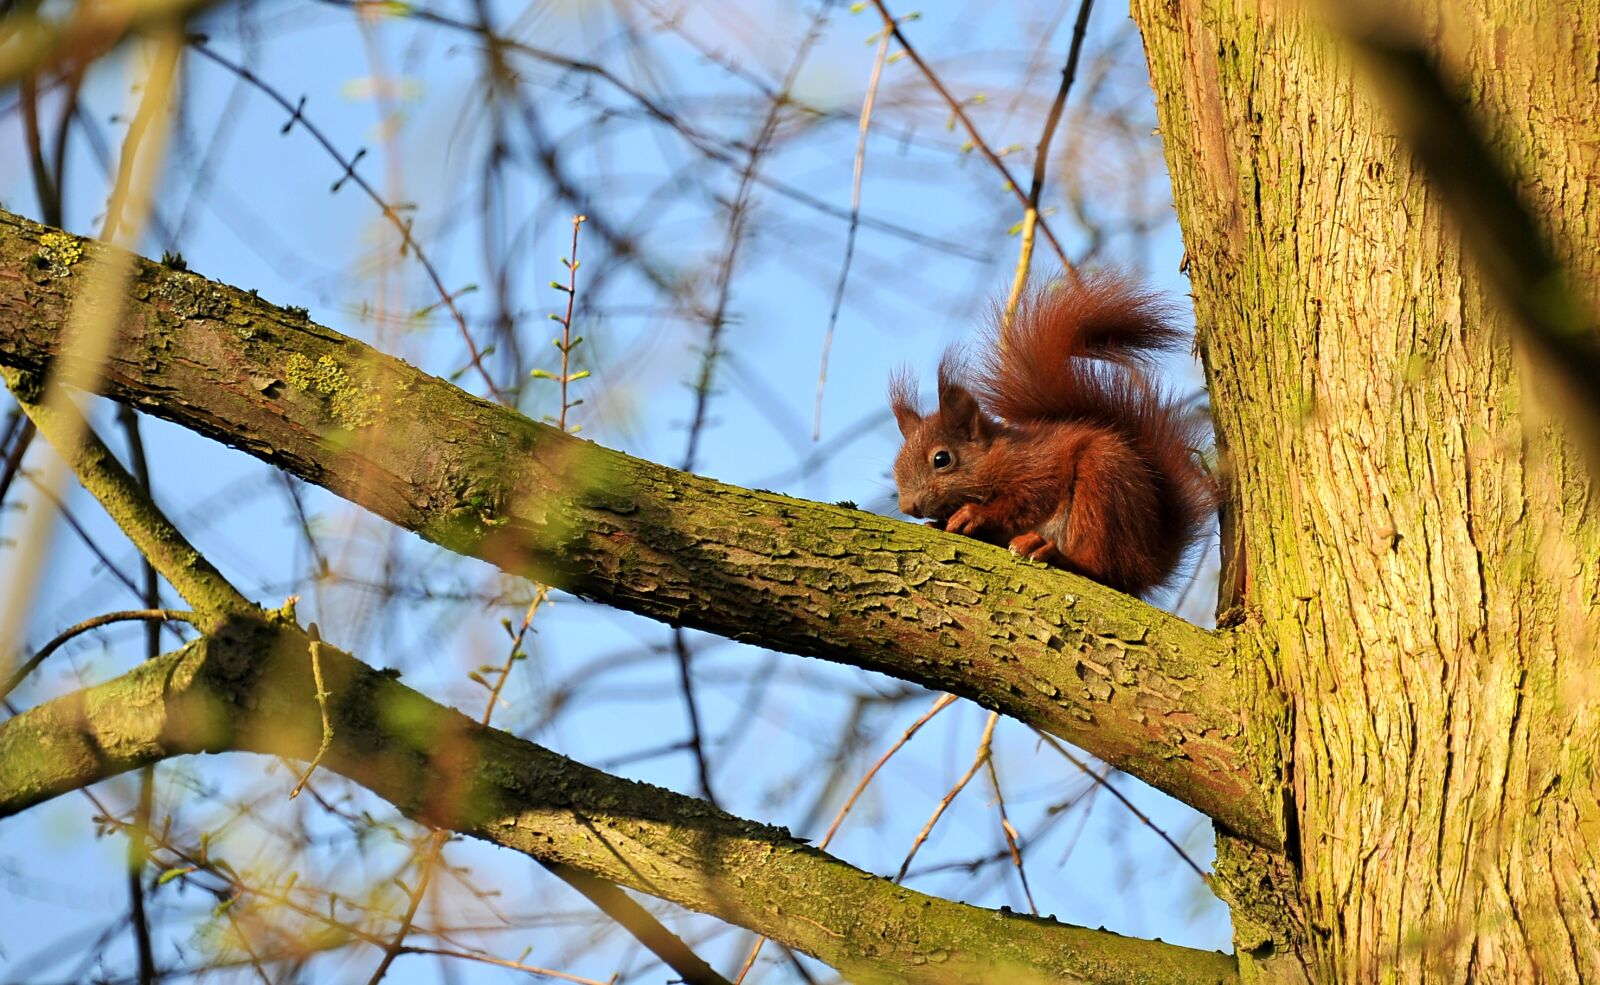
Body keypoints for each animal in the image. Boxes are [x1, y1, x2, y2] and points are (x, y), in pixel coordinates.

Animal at [889, 276, 1209, 601]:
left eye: (942, 459)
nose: (908, 507)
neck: (997, 456)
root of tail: (1149, 562)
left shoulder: (1037, 469)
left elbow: (1025, 502)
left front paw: (973, 514)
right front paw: (939, 523)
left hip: (1102, 487)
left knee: (1103, 569)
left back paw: (1054, 554)